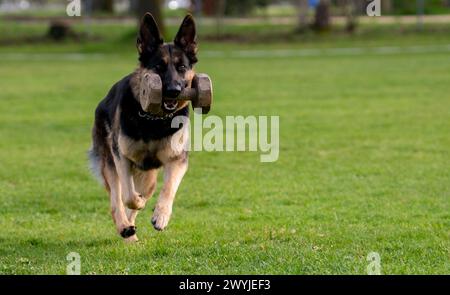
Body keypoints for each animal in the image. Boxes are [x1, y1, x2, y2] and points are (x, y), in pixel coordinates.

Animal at [89, 12, 198, 242]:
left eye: (182, 67)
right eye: (158, 67)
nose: (174, 91)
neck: (154, 120)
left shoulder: (177, 160)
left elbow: (169, 189)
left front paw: (161, 215)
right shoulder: (122, 158)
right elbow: (129, 196)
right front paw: (137, 202)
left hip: (149, 179)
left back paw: (131, 229)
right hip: (110, 165)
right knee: (116, 201)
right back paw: (125, 228)